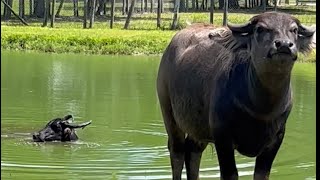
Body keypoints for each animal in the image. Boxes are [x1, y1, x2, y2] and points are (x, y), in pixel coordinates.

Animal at [156, 11, 316, 179]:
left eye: (294, 30)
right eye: (260, 29)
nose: (284, 45)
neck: (262, 109)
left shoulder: (276, 138)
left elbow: (262, 174)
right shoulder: (222, 136)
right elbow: (230, 173)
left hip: (198, 127)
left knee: (192, 152)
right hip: (169, 113)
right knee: (177, 152)